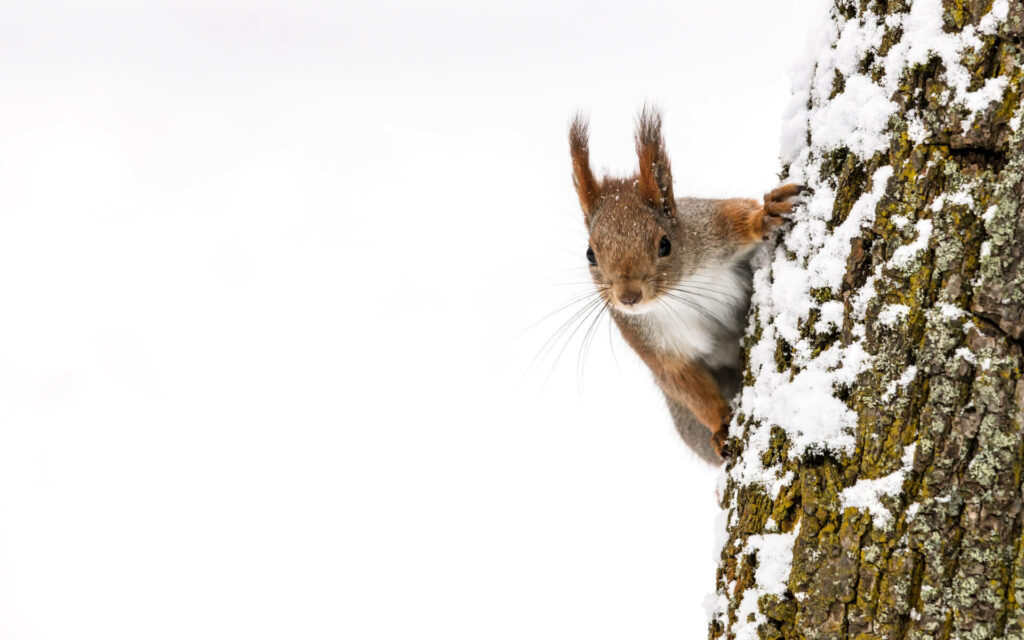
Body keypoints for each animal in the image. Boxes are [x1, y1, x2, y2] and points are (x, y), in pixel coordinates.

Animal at [569, 107, 798, 460]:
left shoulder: (711, 227)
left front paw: (764, 217)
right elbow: (687, 386)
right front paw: (721, 428)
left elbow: (739, 215)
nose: (628, 297)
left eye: (665, 244)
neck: (679, 290)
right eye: (590, 254)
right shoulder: (652, 345)